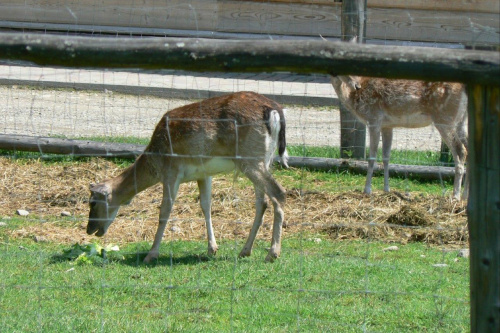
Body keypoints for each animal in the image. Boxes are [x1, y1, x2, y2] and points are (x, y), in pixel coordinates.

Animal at [86, 91, 290, 262]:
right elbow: (206, 206)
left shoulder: (171, 172)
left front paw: (151, 255)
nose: (89, 229)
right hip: (263, 160)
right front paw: (212, 248)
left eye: (93, 203)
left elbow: (164, 211)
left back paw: (272, 253)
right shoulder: (204, 174)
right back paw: (245, 251)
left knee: (278, 192)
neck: (156, 159)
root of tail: (274, 111)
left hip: (251, 158)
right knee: (262, 201)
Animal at [332, 74, 468, 200]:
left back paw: (456, 195)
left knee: (460, 150)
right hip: (461, 121)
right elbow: (386, 157)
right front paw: (386, 189)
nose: (357, 86)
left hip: (445, 118)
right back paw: (465, 196)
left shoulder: (374, 119)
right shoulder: (387, 125)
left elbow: (372, 157)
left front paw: (367, 190)